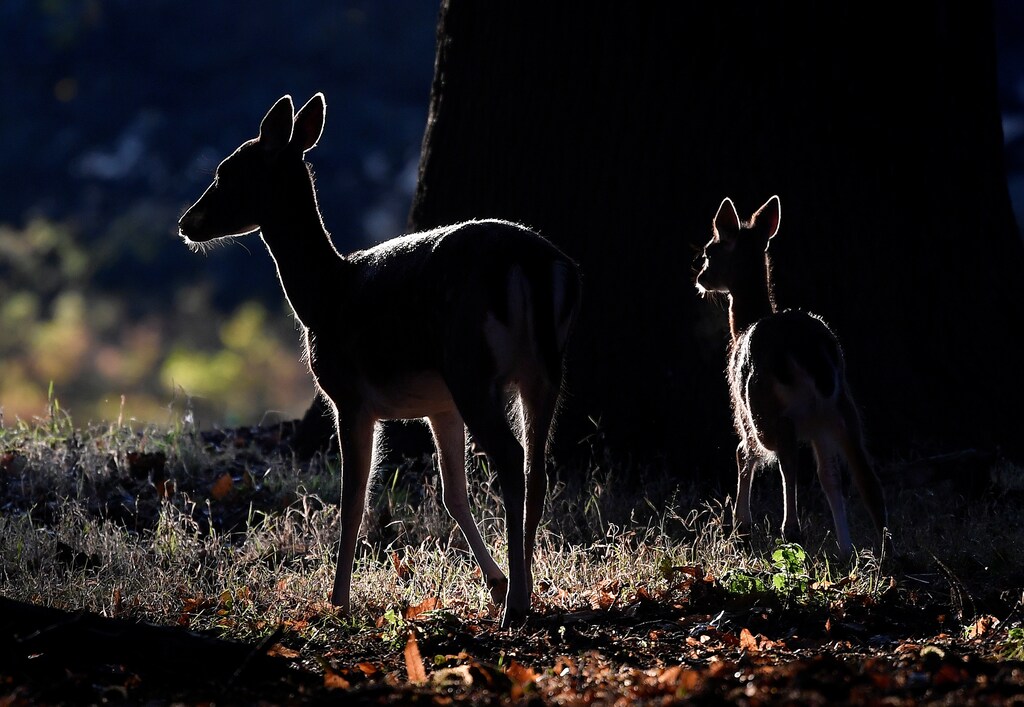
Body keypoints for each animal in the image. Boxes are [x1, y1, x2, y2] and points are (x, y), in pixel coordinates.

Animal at [178, 93, 581, 627]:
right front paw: (492, 582)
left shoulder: (349, 396)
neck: (324, 295)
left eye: (227, 171)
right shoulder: (438, 405)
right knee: (537, 465)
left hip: (471, 365)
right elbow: (453, 494)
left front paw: (338, 600)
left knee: (512, 459)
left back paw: (516, 604)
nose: (185, 222)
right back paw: (526, 587)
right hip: (543, 372)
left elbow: (353, 497)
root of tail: (535, 266)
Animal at [695, 195, 888, 560]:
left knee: (783, 458)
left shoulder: (742, 408)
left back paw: (791, 531)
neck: (743, 325)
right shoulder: (821, 428)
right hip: (844, 407)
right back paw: (884, 554)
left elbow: (743, 451)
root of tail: (807, 351)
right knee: (867, 479)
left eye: (710, 251)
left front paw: (741, 527)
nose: (701, 278)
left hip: (767, 406)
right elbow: (829, 477)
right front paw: (845, 549)